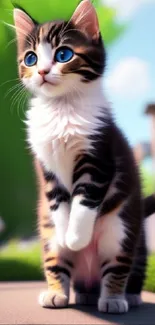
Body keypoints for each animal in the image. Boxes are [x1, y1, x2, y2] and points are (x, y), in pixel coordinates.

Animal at [13, 0, 155, 314]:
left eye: (63, 54)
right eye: (30, 59)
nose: (42, 71)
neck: (62, 109)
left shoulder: (99, 157)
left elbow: (83, 200)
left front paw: (76, 237)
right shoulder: (47, 167)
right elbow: (59, 204)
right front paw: (67, 235)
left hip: (122, 231)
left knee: (119, 266)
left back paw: (118, 297)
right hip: (50, 242)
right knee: (58, 264)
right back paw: (59, 293)